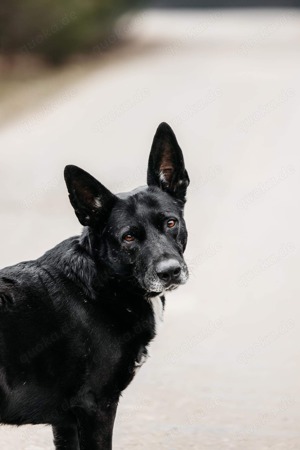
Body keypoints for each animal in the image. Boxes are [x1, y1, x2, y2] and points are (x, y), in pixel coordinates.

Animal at [0, 121, 189, 448]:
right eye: (129, 237)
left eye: (170, 223)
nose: (170, 272)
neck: (104, 283)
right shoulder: (96, 407)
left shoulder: (64, 422)